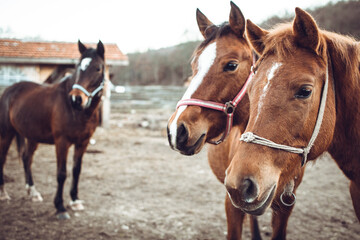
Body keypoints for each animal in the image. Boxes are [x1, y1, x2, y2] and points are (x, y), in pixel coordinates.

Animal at [0, 39, 105, 219]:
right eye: (78, 67)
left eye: (98, 68)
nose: (76, 99)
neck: (78, 112)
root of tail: (9, 90)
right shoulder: (62, 143)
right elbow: (61, 174)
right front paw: (60, 207)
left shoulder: (83, 143)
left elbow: (76, 170)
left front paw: (75, 201)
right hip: (6, 134)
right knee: (2, 159)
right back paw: (3, 194)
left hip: (32, 137)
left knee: (26, 158)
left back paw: (33, 192)